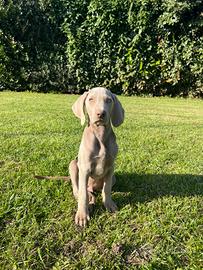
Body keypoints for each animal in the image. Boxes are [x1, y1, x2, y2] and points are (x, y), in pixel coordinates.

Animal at [69, 86, 124, 226]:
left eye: (109, 100)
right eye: (91, 99)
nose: (101, 114)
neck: (100, 135)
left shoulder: (111, 167)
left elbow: (107, 189)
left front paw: (109, 205)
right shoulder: (84, 169)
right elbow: (83, 194)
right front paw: (82, 216)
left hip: (113, 177)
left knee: (98, 191)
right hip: (73, 164)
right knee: (81, 191)